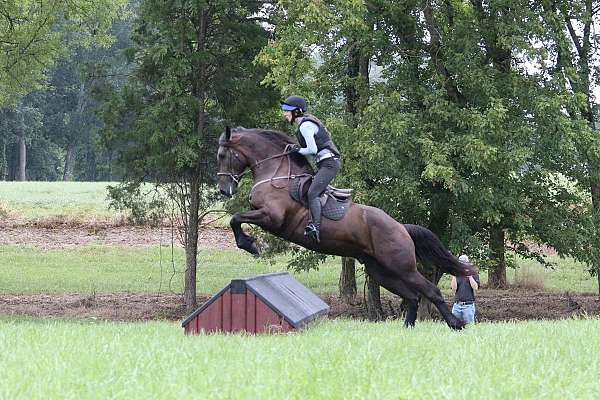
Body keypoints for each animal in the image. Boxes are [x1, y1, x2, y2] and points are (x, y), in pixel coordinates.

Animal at [218, 127, 476, 328]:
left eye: (222, 155)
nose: (223, 189)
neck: (277, 174)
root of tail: (401, 227)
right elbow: (236, 218)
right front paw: (249, 243)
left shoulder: (272, 217)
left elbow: (236, 218)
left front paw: (249, 244)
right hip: (380, 271)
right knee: (412, 297)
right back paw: (407, 328)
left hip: (402, 267)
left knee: (430, 291)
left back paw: (456, 324)